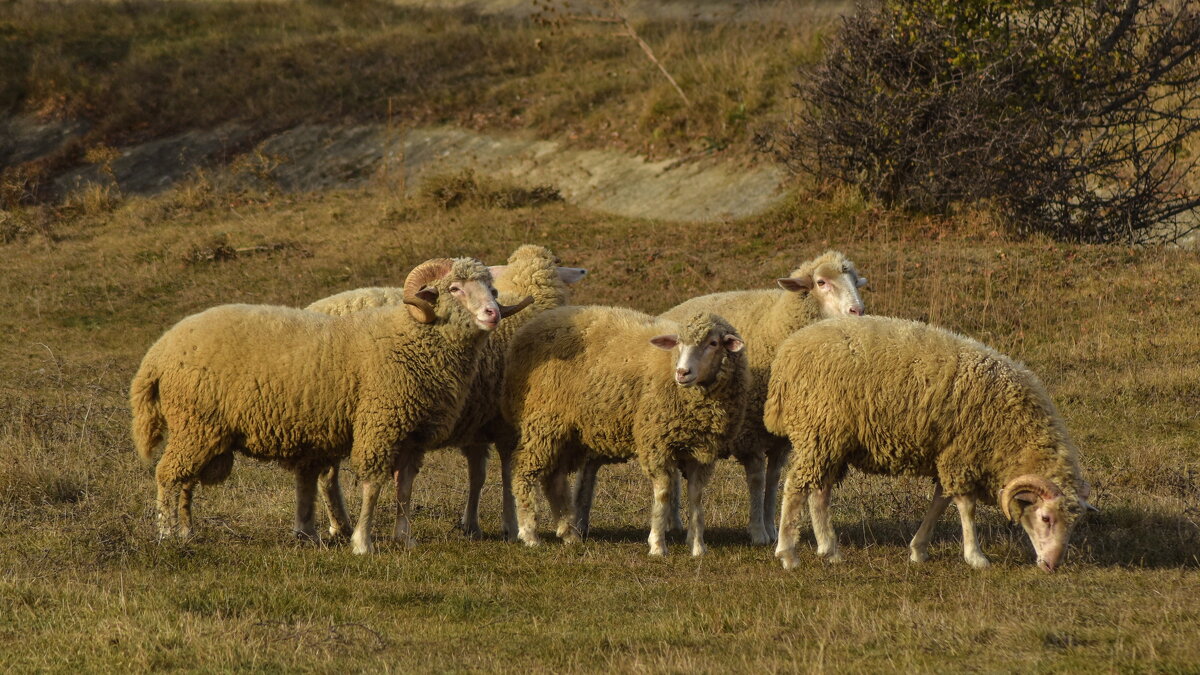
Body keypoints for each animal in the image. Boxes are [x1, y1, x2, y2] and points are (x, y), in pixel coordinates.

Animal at [127, 255, 535, 552]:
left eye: (492, 289)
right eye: (454, 288)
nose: (492, 314)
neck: (413, 338)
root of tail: (158, 352)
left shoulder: (412, 434)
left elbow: (405, 488)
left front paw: (404, 539)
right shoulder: (379, 423)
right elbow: (373, 485)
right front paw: (362, 542)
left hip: (201, 429)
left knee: (185, 480)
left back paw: (187, 530)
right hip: (196, 423)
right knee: (168, 475)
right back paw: (168, 534)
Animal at [499, 307, 744, 554]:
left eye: (713, 343)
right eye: (678, 343)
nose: (682, 373)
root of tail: (531, 326)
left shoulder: (702, 451)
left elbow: (696, 497)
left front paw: (698, 547)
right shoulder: (656, 443)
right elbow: (664, 493)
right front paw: (657, 544)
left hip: (567, 433)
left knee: (554, 480)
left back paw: (569, 534)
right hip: (542, 421)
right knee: (524, 471)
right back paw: (529, 533)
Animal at [568, 249, 864, 542]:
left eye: (855, 280)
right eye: (821, 282)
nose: (858, 310)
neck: (777, 328)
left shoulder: (778, 439)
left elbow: (773, 480)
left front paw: (771, 528)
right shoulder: (750, 432)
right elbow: (757, 479)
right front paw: (758, 532)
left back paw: (669, 523)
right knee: (588, 466)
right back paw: (578, 524)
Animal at [768, 314, 1099, 566]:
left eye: (1074, 523)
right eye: (1045, 518)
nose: (1052, 565)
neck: (1014, 434)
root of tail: (787, 352)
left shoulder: (949, 454)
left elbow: (940, 502)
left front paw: (919, 549)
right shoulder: (962, 455)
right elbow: (966, 506)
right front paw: (976, 557)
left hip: (831, 440)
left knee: (819, 492)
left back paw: (830, 550)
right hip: (819, 430)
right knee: (795, 486)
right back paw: (788, 554)